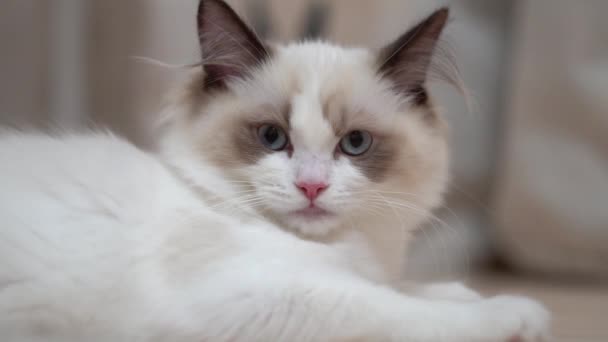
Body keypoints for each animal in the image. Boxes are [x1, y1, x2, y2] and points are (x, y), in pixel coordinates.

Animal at [0, 1, 552, 340]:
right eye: (271, 137)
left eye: (354, 144)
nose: (311, 185)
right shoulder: (277, 299)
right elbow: (401, 309)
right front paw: (517, 313)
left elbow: (407, 288)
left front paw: (465, 291)